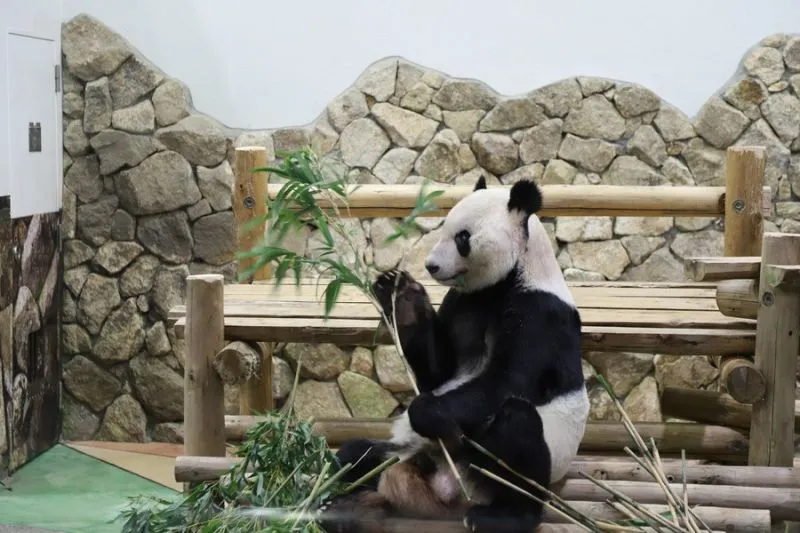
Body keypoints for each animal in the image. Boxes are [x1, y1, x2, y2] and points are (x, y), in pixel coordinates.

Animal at [320, 177, 589, 533]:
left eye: (462, 237)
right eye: (443, 226)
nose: (431, 265)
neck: (510, 278)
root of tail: (446, 491)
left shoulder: (541, 313)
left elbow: (508, 380)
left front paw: (427, 412)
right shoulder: (464, 301)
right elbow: (439, 372)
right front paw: (401, 297)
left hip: (531, 462)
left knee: (518, 429)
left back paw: (501, 516)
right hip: (401, 454)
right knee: (356, 455)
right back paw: (339, 503)